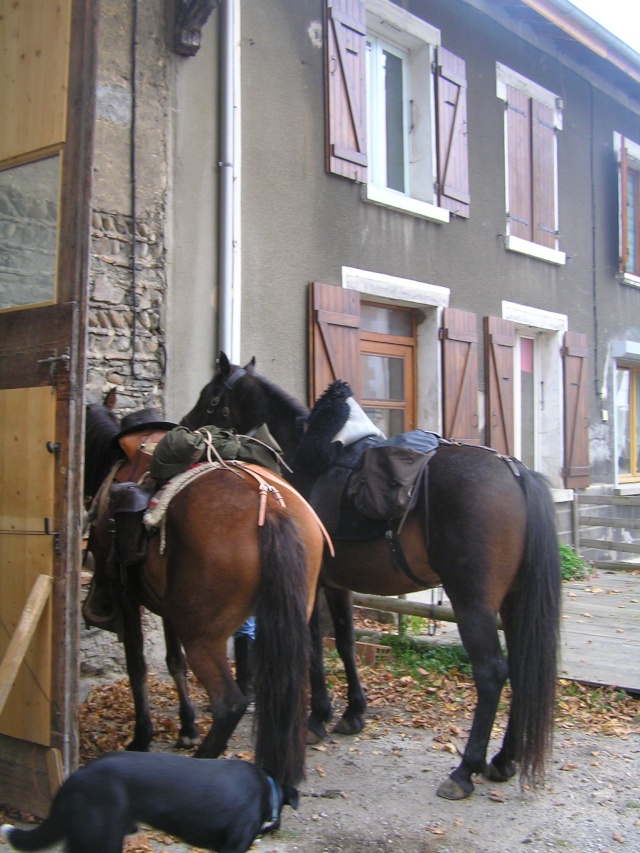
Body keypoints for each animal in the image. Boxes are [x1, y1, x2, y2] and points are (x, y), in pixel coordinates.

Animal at [85, 402, 324, 788]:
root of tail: (271, 507)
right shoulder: (167, 606)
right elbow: (173, 662)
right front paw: (186, 727)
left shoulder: (126, 596)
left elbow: (137, 666)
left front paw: (142, 737)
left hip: (202, 636)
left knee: (229, 704)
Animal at [180, 352, 560, 800]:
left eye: (211, 395)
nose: (186, 425)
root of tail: (515, 472)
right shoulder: (339, 586)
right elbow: (345, 643)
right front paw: (352, 712)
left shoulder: (314, 586)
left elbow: (314, 647)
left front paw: (318, 717)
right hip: (514, 604)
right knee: (522, 667)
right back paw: (504, 760)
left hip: (474, 604)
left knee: (491, 673)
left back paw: (465, 770)